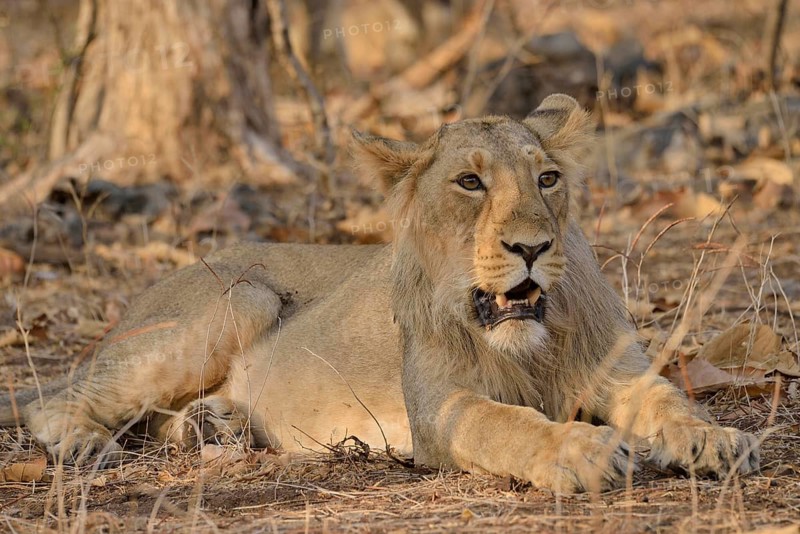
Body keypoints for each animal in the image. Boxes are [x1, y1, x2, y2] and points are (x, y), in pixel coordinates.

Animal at [0, 94, 759, 493]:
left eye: (546, 178)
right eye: (470, 183)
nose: (532, 248)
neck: (530, 343)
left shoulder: (620, 372)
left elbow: (669, 400)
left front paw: (717, 440)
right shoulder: (439, 409)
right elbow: (505, 424)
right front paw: (583, 451)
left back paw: (211, 428)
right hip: (242, 297)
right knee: (51, 400)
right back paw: (87, 446)